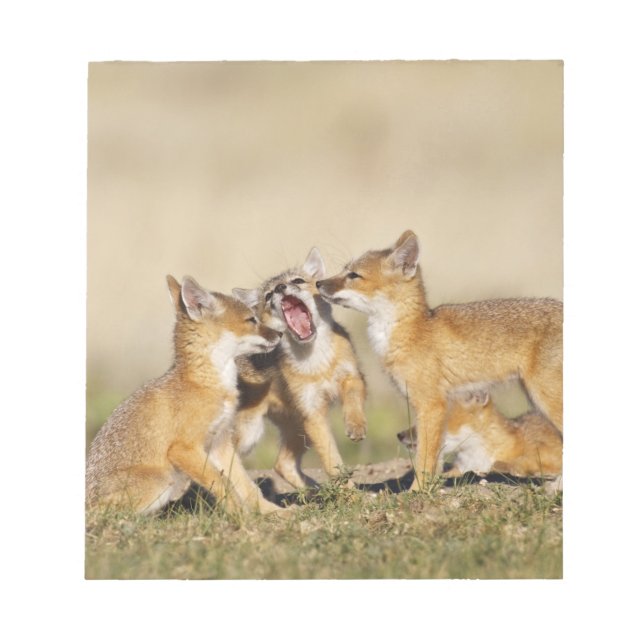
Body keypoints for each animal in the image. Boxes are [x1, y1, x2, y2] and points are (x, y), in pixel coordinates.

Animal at [85, 275, 288, 515]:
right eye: (251, 320)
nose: (280, 334)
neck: (207, 384)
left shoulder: (220, 443)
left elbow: (246, 485)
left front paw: (272, 512)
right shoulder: (183, 449)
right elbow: (222, 483)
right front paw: (240, 516)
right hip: (162, 480)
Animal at [232, 248, 367, 490]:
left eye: (297, 281)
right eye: (268, 295)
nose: (280, 288)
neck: (317, 363)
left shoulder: (352, 376)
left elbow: (352, 401)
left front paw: (355, 425)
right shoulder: (313, 413)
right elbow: (332, 462)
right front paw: (349, 494)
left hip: (296, 429)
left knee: (281, 464)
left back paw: (314, 492)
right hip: (250, 434)